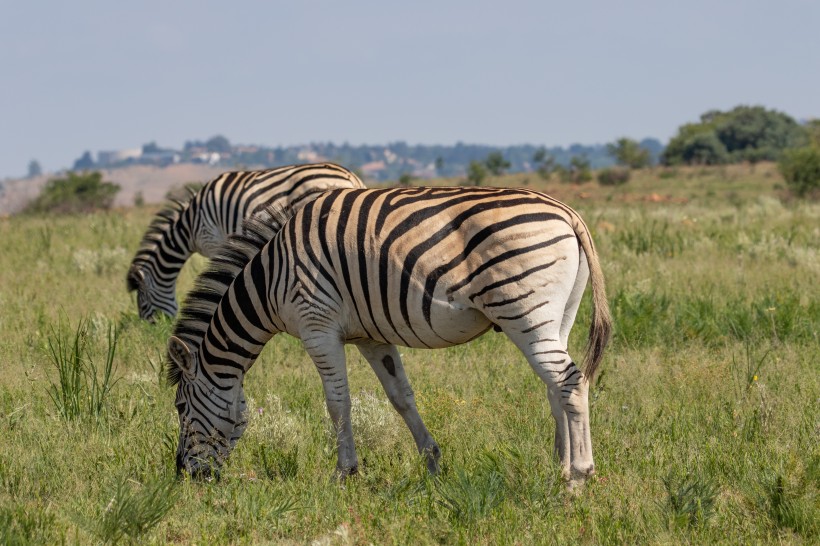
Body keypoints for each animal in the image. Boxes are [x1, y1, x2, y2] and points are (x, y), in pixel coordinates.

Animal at [165, 185, 608, 486]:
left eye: (180, 408)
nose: (184, 475)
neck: (271, 279)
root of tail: (567, 212)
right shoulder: (370, 336)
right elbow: (401, 397)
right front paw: (432, 463)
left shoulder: (317, 326)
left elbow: (337, 403)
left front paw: (345, 473)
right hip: (555, 317)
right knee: (555, 385)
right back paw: (559, 468)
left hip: (524, 310)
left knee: (570, 381)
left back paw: (579, 476)